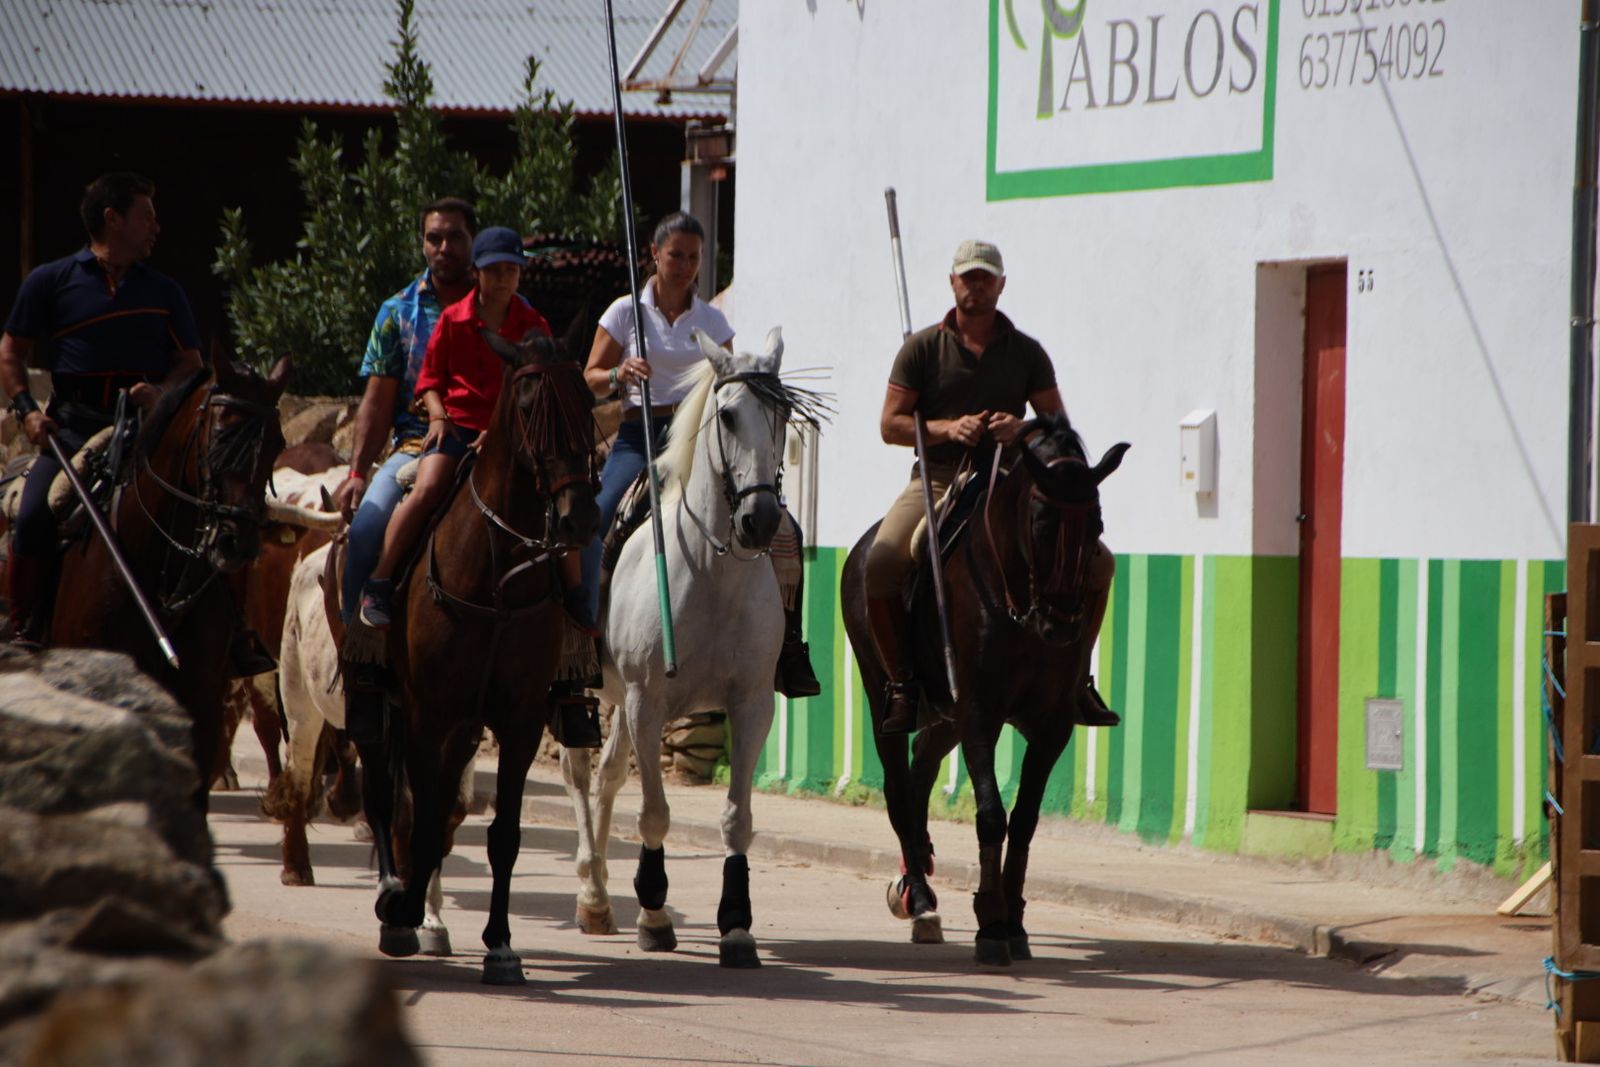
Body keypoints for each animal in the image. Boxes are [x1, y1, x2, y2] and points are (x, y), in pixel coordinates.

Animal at [362, 328, 600, 984]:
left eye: (586, 402)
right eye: (528, 405)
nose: (578, 518)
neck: (495, 577)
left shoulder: (518, 721)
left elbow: (504, 835)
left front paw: (501, 945)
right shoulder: (426, 714)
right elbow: (419, 821)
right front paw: (404, 915)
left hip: (463, 730)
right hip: (370, 708)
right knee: (385, 799)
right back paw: (396, 896)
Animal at [561, 327, 819, 969]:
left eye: (783, 414)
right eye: (726, 415)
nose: (759, 520)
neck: (712, 574)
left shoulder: (752, 704)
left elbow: (737, 818)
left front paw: (737, 926)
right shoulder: (647, 703)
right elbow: (654, 812)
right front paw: (654, 915)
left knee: (605, 779)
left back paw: (600, 898)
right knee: (579, 774)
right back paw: (591, 892)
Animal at [839, 415, 1129, 966]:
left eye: (1098, 523)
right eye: (1041, 521)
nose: (1062, 624)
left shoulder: (1052, 725)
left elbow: (1026, 820)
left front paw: (1013, 919)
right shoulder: (979, 711)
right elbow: (992, 816)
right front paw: (991, 923)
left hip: (945, 716)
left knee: (921, 767)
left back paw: (918, 874)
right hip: (882, 688)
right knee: (897, 785)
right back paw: (920, 899)